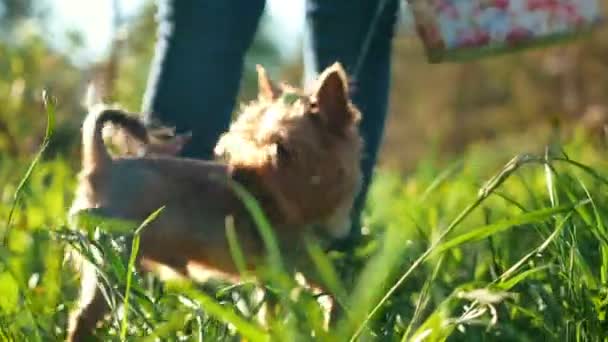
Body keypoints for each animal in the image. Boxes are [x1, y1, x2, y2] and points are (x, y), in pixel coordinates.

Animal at [66, 62, 360, 340]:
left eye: (281, 149)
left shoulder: (299, 267)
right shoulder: (282, 270)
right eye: (243, 145)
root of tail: (102, 164)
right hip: (113, 259)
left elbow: (332, 297)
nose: (236, 175)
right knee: (83, 316)